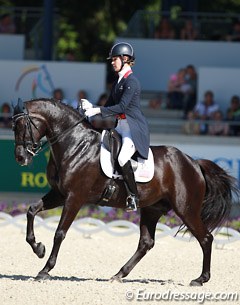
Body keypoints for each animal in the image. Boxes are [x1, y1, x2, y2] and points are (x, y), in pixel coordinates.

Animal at [12, 98, 237, 284]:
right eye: (13, 127)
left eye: (23, 125)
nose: (21, 158)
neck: (76, 145)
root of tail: (194, 163)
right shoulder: (59, 194)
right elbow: (31, 210)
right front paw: (38, 248)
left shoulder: (75, 197)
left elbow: (60, 233)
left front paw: (45, 270)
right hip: (152, 209)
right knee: (146, 243)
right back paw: (119, 274)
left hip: (186, 209)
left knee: (206, 238)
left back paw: (201, 279)